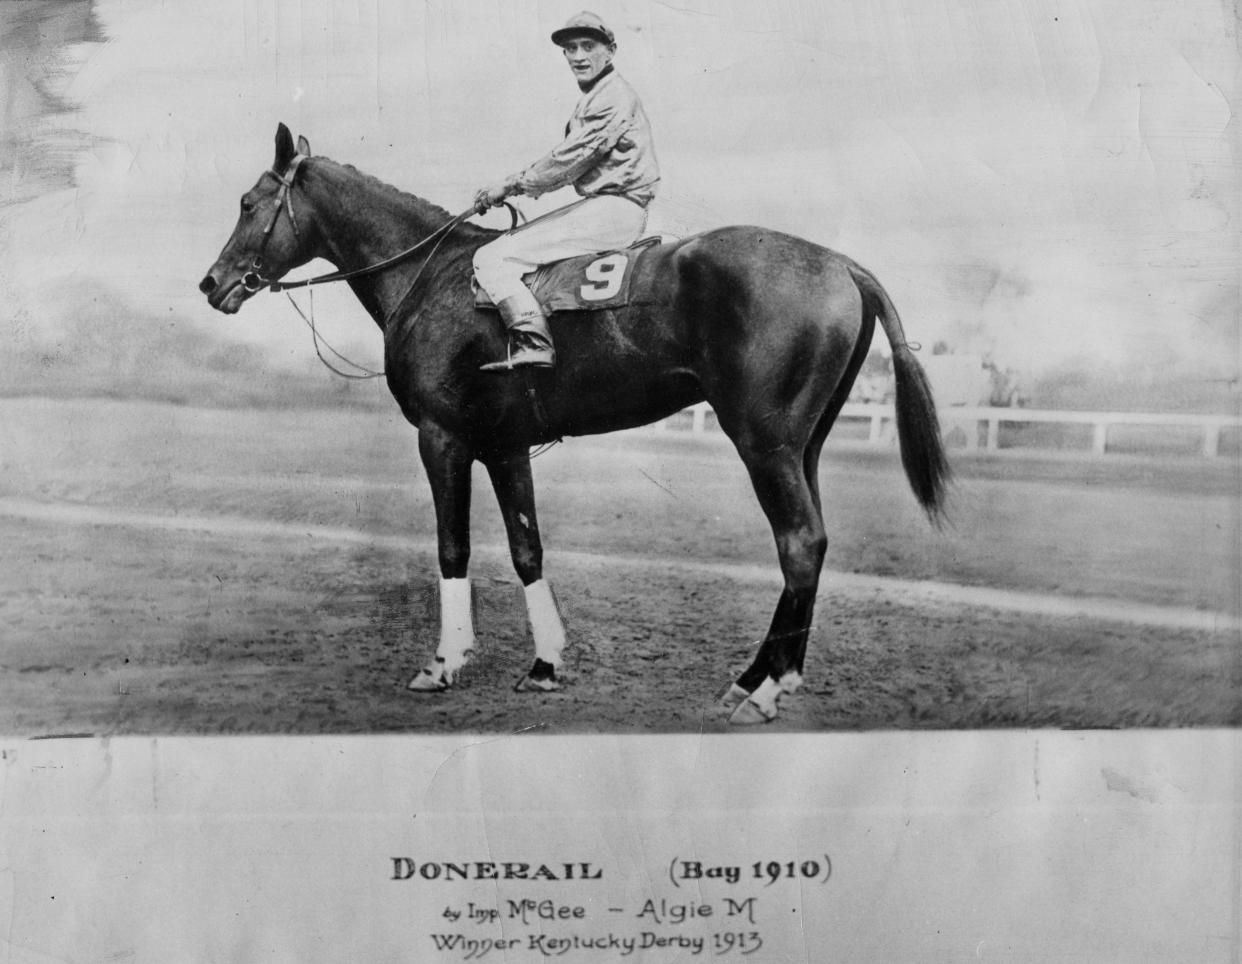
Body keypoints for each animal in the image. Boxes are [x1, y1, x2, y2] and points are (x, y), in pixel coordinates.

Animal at [198, 122, 948, 725]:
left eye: (248, 203)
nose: (211, 284)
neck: (433, 277)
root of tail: (840, 264)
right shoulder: (505, 448)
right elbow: (527, 550)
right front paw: (545, 665)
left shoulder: (441, 439)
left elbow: (452, 548)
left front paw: (444, 664)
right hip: (803, 447)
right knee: (810, 547)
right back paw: (754, 681)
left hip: (766, 444)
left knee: (800, 544)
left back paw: (765, 692)